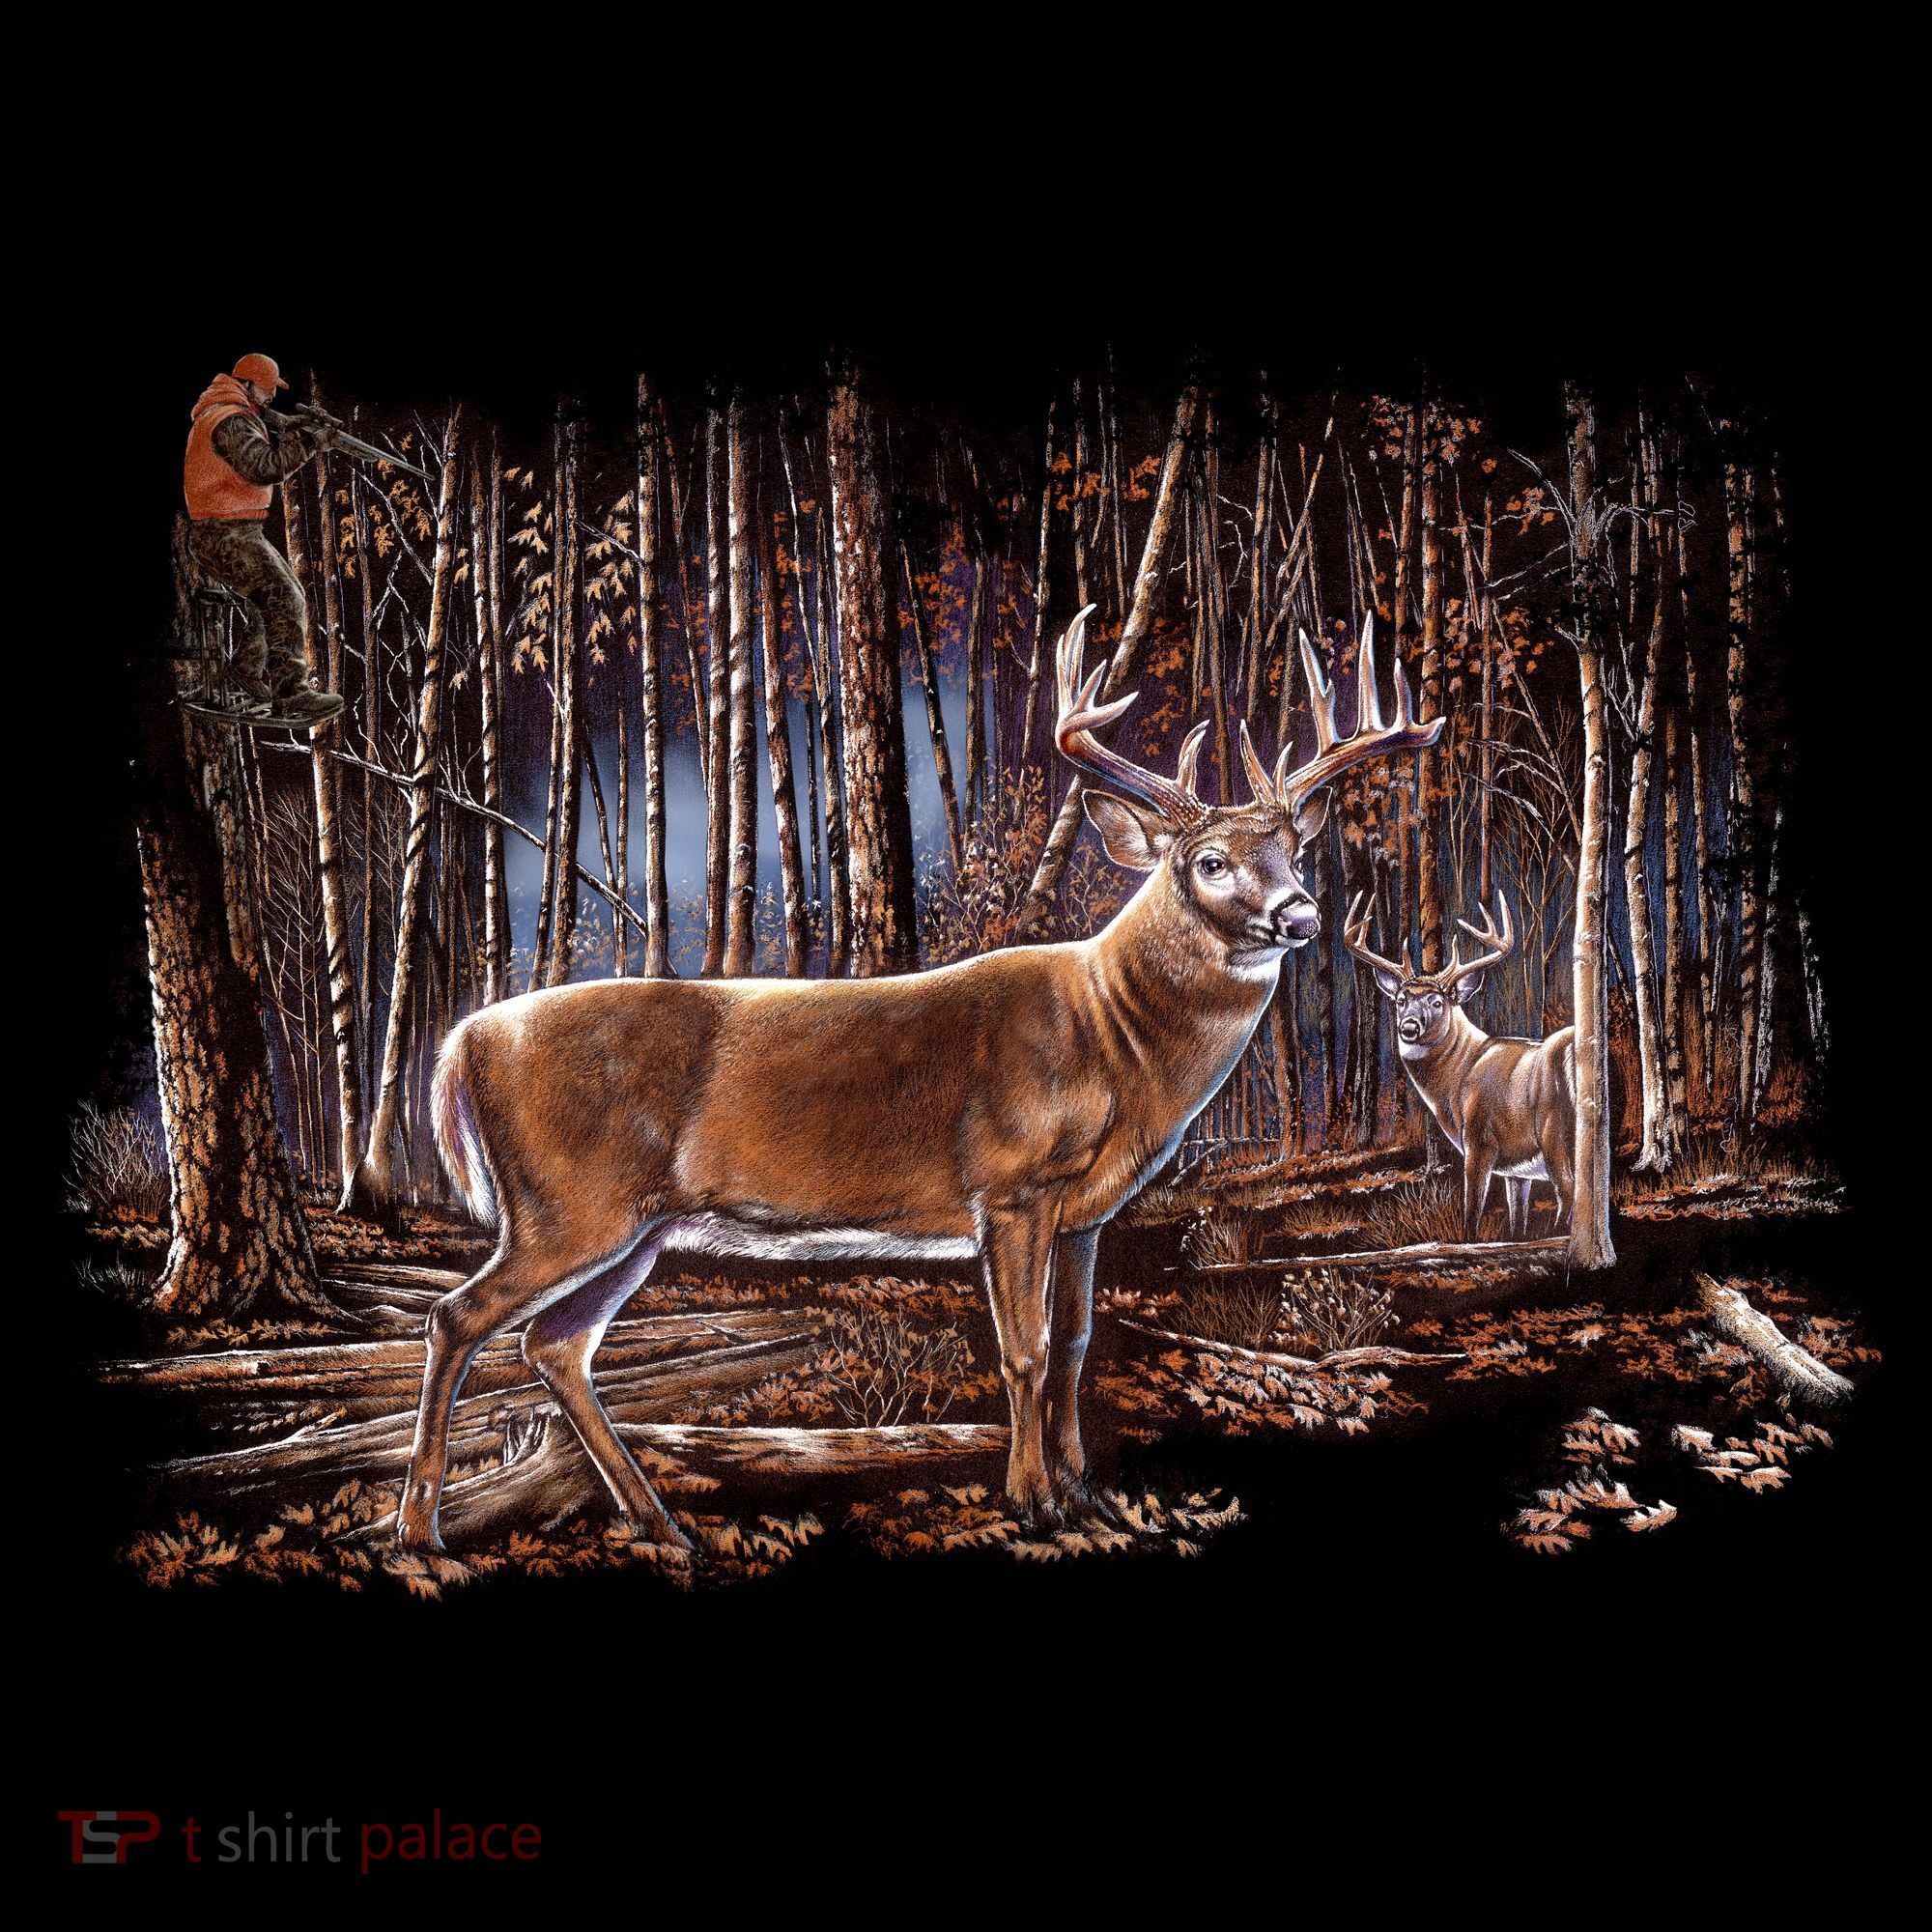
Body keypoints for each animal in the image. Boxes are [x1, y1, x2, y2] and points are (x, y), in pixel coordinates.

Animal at [395, 607, 1441, 1555]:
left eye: (1294, 851)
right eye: (1211, 860)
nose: (1300, 913)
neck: (1117, 1044)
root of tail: (460, 1041)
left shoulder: (1089, 1212)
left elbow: (1074, 1347)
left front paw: (1089, 1493)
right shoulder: (1011, 1186)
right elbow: (1022, 1349)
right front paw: (1036, 1502)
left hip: (631, 1225)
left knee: (554, 1344)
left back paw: (658, 1522)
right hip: (568, 1201)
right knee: (457, 1317)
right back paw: (419, 1527)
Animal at [1342, 892, 1576, 1241]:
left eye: (1437, 1002)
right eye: (1400, 1000)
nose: (1408, 1027)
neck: (1458, 1078)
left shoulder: (1479, 1138)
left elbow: (1472, 1212)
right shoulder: (1516, 1169)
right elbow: (1516, 1221)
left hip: (1553, 1130)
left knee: (1569, 1191)